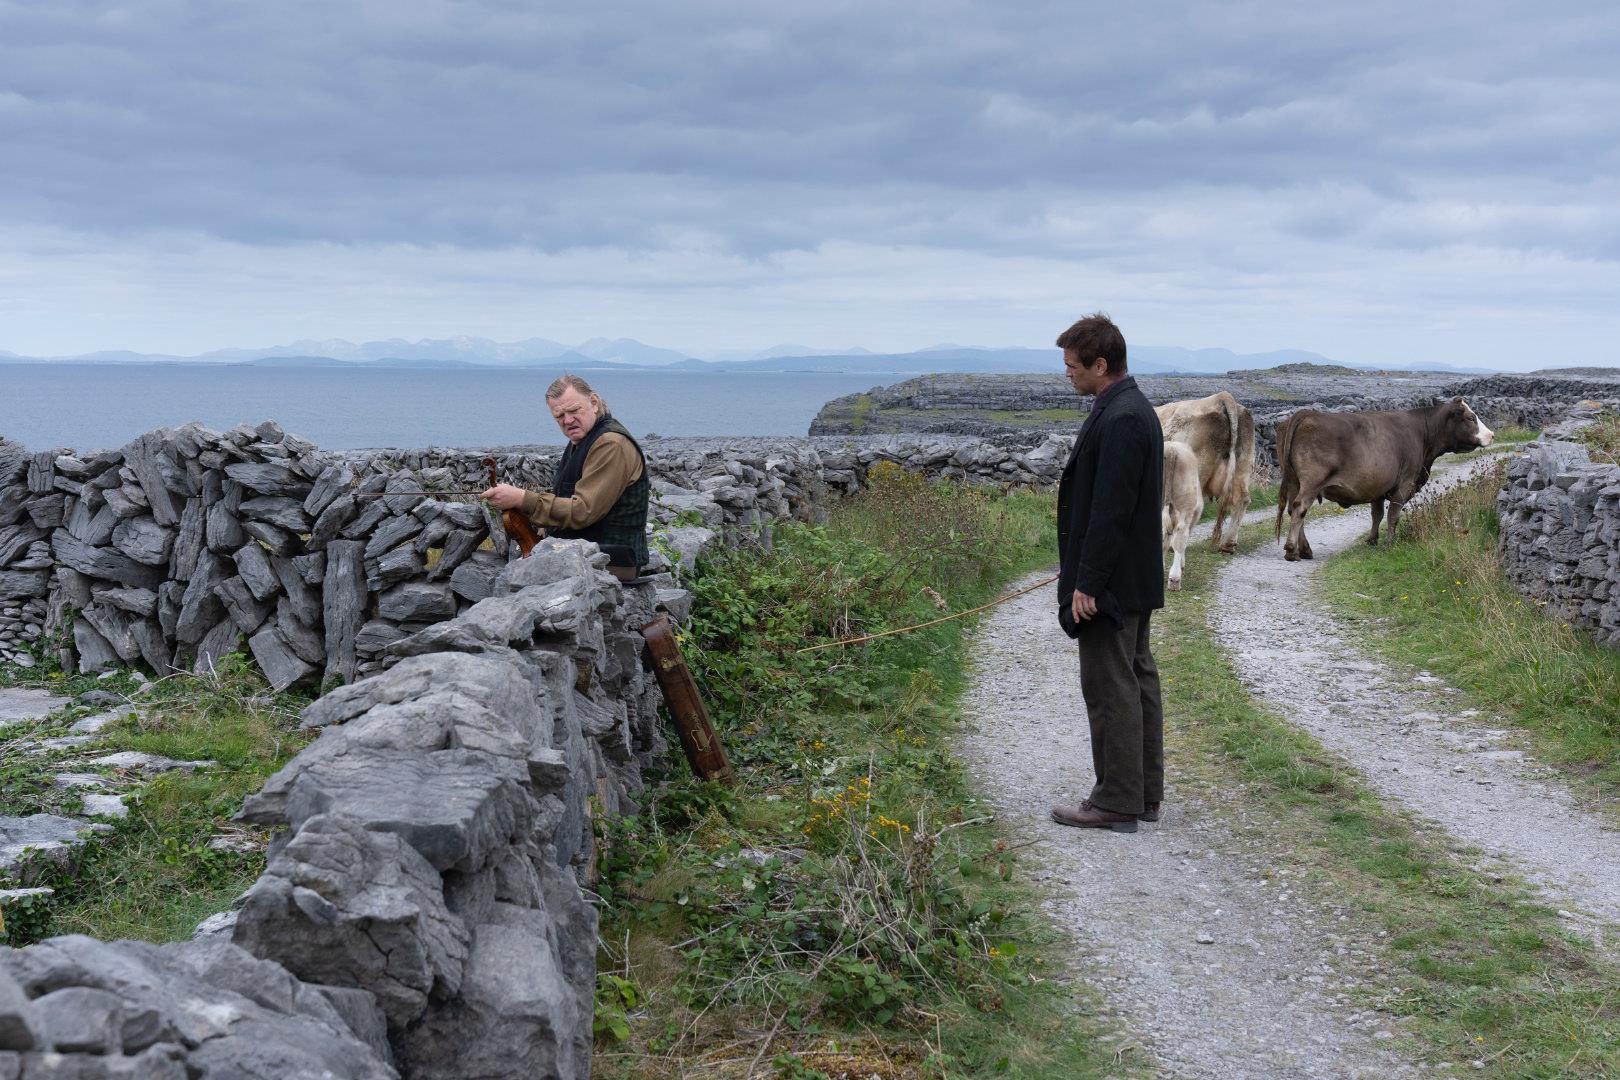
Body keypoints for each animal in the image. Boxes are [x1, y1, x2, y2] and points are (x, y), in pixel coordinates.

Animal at [1153, 390, 1250, 557]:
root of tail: (1221, 396)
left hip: (1194, 472)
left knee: (1194, 506)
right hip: (1243, 464)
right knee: (1241, 499)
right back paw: (1228, 544)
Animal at [1276, 399, 1490, 566]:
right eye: (1471, 418)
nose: (1492, 435)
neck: (1422, 433)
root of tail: (1306, 414)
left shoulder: (1377, 487)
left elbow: (1376, 515)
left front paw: (1372, 540)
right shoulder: (1404, 484)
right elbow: (1393, 515)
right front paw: (1389, 543)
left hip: (1294, 481)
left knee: (1293, 509)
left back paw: (1305, 550)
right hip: (1311, 482)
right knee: (1300, 508)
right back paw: (1292, 551)